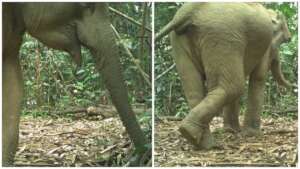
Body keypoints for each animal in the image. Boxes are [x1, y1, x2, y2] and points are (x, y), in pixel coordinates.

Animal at [156, 2, 292, 150]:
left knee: (194, 90)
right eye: (285, 40)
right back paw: (195, 136)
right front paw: (251, 134)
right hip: (221, 36)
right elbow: (259, 77)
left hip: (183, 40)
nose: (293, 86)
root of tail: (189, 11)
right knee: (233, 86)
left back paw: (199, 141)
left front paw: (231, 131)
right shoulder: (265, 45)